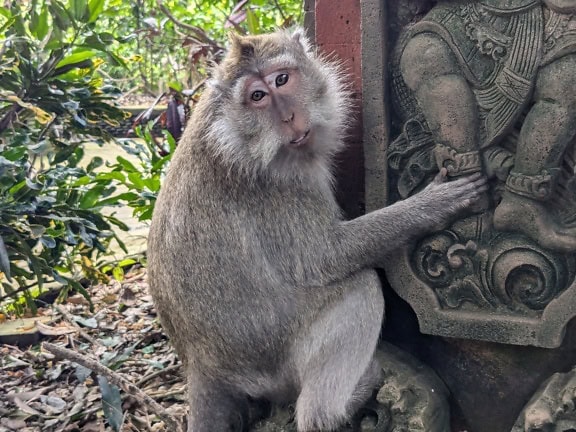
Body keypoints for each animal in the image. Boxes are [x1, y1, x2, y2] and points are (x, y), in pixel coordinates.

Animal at [147, 27, 486, 432]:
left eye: (281, 79)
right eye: (257, 96)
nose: (290, 117)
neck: (235, 130)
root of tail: (200, 363)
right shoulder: (279, 186)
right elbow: (323, 258)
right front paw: (433, 205)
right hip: (275, 362)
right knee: (361, 287)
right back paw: (333, 408)